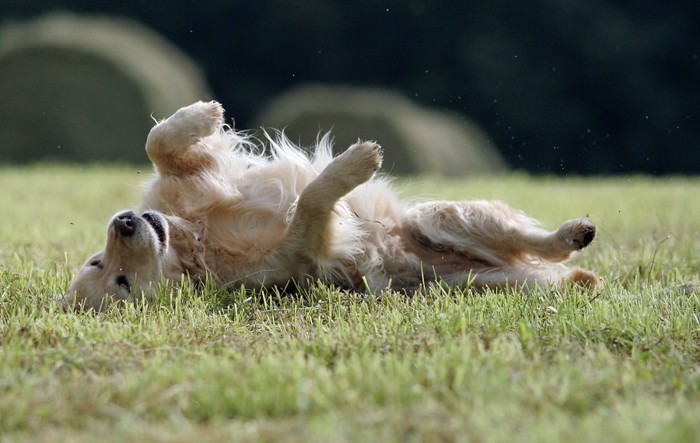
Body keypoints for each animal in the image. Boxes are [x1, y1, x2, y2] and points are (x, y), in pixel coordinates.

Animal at [64, 101, 596, 310]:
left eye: (97, 261)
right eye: (121, 282)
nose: (124, 221)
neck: (192, 238)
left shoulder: (189, 179)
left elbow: (158, 142)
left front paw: (202, 115)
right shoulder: (303, 251)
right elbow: (311, 200)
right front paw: (354, 165)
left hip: (439, 218)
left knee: (533, 242)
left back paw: (575, 233)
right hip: (472, 275)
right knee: (549, 262)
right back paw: (577, 256)